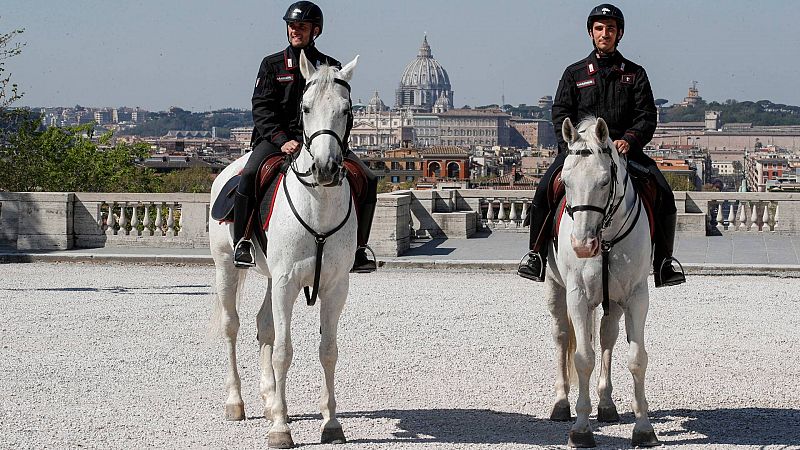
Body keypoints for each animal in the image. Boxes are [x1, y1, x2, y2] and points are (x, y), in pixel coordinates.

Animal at [208, 51, 358, 448]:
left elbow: (328, 351)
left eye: (347, 109)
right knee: (232, 325)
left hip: (270, 278)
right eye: (305, 107)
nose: (325, 168)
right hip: (227, 266)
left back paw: (272, 400)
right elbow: (283, 352)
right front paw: (280, 429)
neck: (318, 205)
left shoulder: (335, 286)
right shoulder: (287, 281)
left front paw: (330, 423)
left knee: (263, 325)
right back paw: (236, 403)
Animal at [548, 118, 660, 448]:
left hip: (614, 301)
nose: (582, 246)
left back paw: (607, 404)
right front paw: (581, 429)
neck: (607, 237)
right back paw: (562, 403)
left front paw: (643, 428)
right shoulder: (577, 296)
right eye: (565, 181)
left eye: (603, 182)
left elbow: (636, 359)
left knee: (607, 337)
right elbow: (583, 357)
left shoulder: (636, 296)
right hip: (555, 289)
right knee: (561, 337)